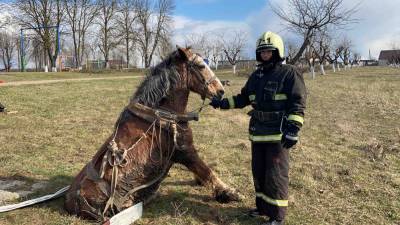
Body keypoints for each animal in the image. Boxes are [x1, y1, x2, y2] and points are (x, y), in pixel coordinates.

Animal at [64, 46, 242, 221]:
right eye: (200, 66)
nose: (220, 91)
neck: (162, 114)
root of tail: (73, 203)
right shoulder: (185, 151)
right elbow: (206, 171)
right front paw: (229, 193)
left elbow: (201, 171)